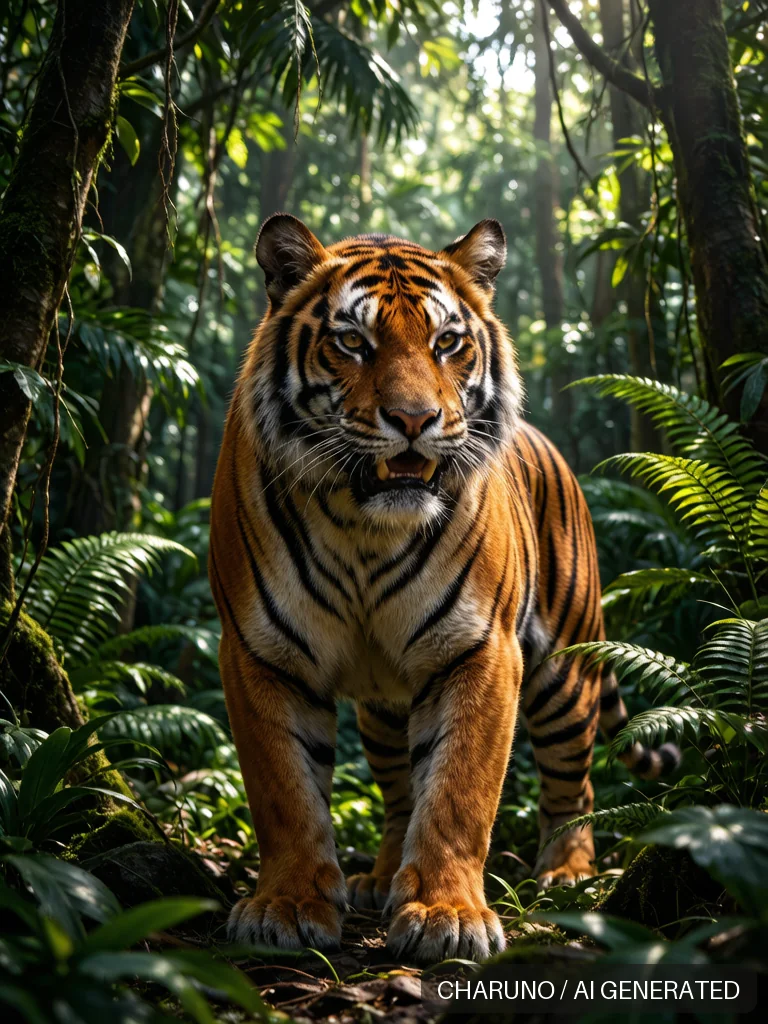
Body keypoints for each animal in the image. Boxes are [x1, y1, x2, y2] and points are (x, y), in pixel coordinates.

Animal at [209, 214, 679, 963]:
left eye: (447, 342)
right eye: (353, 342)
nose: (414, 420)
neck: (363, 526)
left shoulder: (478, 649)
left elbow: (460, 791)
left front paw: (445, 914)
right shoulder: (261, 652)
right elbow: (284, 790)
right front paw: (288, 904)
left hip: (564, 671)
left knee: (573, 781)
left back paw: (568, 875)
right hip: (383, 707)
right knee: (400, 791)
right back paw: (379, 876)